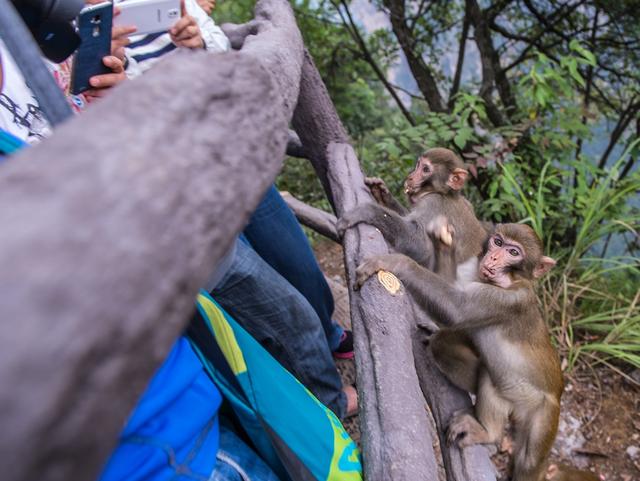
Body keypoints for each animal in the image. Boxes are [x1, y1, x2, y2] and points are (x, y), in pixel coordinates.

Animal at [336, 147, 484, 282]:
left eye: (425, 169)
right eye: (418, 165)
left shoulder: (433, 203)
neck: (444, 193)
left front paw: (366, 211)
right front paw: (382, 193)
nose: (411, 176)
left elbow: (420, 245)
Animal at [356, 222, 564, 480]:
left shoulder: (508, 300)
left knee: (529, 460)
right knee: (478, 367)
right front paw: (443, 242)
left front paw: (396, 262)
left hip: (545, 416)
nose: (494, 257)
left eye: (513, 252)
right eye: (498, 242)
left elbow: (458, 309)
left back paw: (489, 434)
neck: (505, 281)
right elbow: (452, 294)